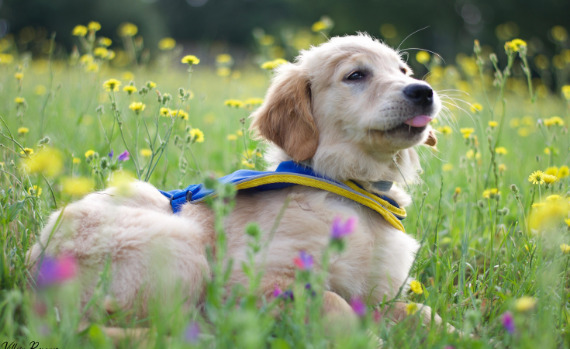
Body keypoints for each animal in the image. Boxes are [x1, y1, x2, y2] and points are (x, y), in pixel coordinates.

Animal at [28, 33, 442, 326]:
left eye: (403, 72)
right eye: (356, 75)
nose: (424, 92)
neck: (347, 187)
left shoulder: (379, 291)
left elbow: (422, 312)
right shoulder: (256, 279)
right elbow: (332, 301)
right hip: (184, 246)